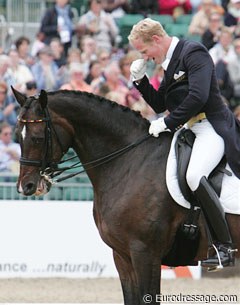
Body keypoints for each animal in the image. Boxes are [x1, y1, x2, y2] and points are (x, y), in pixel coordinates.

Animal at [13, 86, 240, 302]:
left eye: (37, 138)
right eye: (17, 136)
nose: (26, 186)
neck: (130, 161)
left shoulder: (145, 253)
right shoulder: (122, 256)